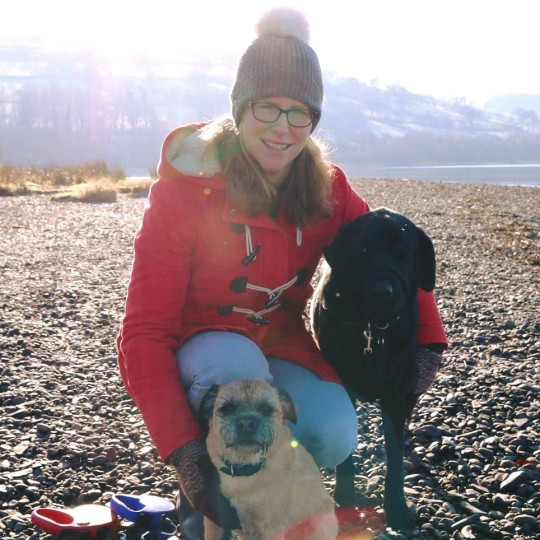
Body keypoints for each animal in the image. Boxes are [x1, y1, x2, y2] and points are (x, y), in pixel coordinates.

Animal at [198, 380, 338, 540]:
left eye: (266, 409)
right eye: (227, 408)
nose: (246, 424)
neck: (243, 467)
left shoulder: (272, 528)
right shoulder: (214, 517)